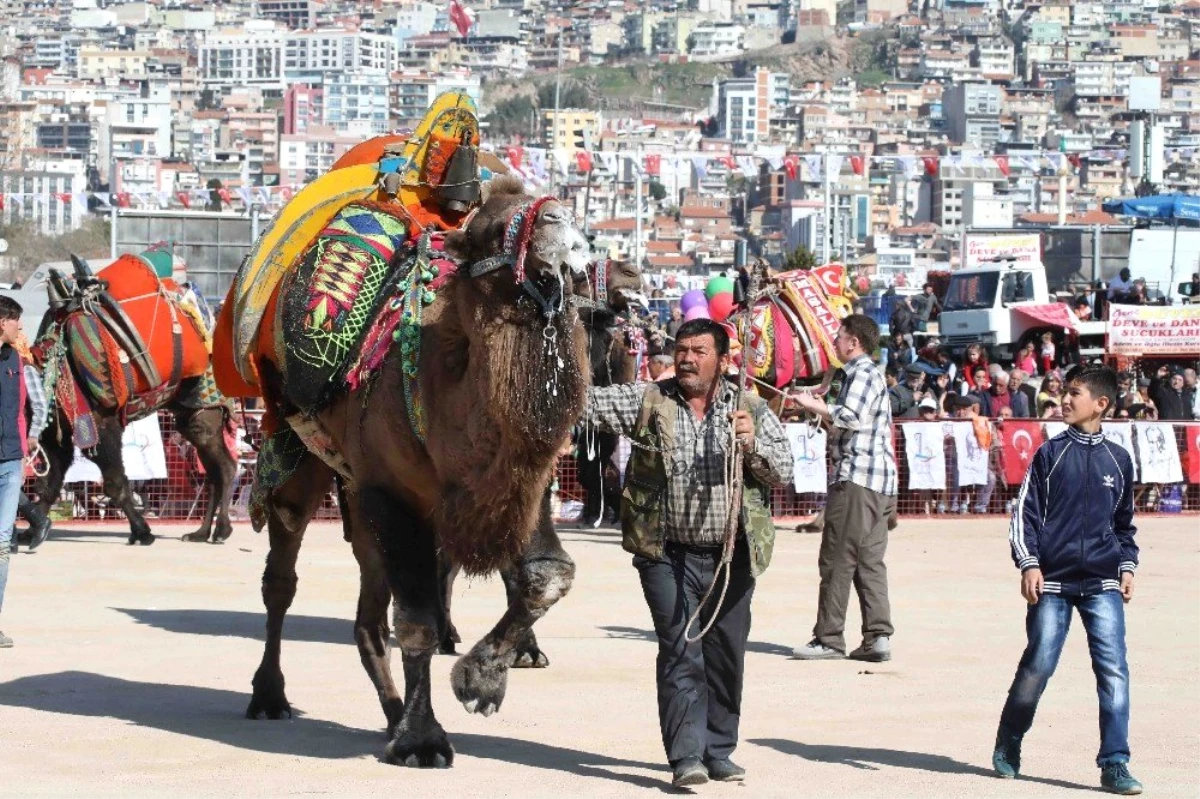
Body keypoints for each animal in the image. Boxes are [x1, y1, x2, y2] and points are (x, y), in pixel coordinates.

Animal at [246, 176, 592, 767]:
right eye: (490, 231)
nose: (557, 222)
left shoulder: (522, 486)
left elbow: (548, 574)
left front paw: (479, 682)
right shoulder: (391, 490)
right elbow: (416, 622)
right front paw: (423, 740)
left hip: (358, 497)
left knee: (367, 618)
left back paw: (389, 715)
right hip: (299, 454)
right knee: (282, 576)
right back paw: (270, 697)